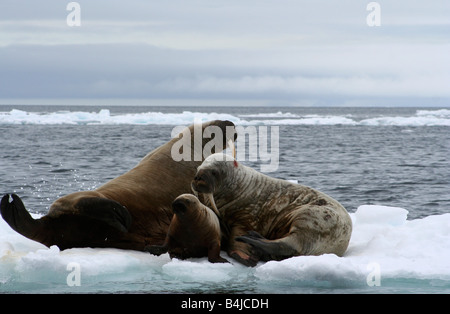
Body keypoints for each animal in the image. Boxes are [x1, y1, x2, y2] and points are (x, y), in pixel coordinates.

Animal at [192, 153, 354, 266]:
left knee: (292, 244)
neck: (239, 188)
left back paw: (252, 239)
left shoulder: (247, 217)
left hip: (312, 218)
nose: (198, 177)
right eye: (198, 169)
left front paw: (244, 257)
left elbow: (237, 239)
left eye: (214, 172)